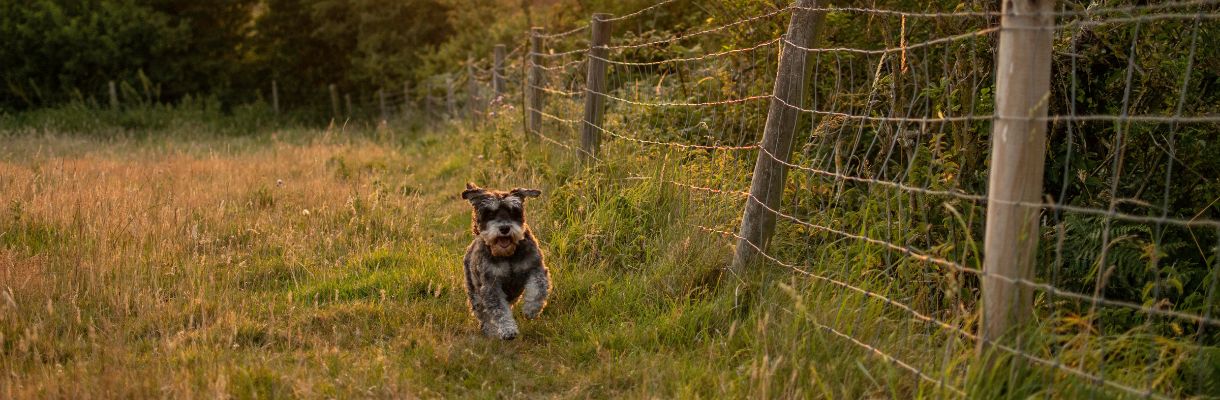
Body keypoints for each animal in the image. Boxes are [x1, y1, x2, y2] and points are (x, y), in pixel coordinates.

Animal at [458, 182, 551, 339]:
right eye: (490, 213)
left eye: (513, 211)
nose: (504, 228)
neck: (508, 255)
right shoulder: (491, 284)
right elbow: (499, 309)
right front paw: (508, 330)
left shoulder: (535, 268)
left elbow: (538, 290)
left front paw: (531, 310)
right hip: (474, 292)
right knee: (483, 313)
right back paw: (489, 331)